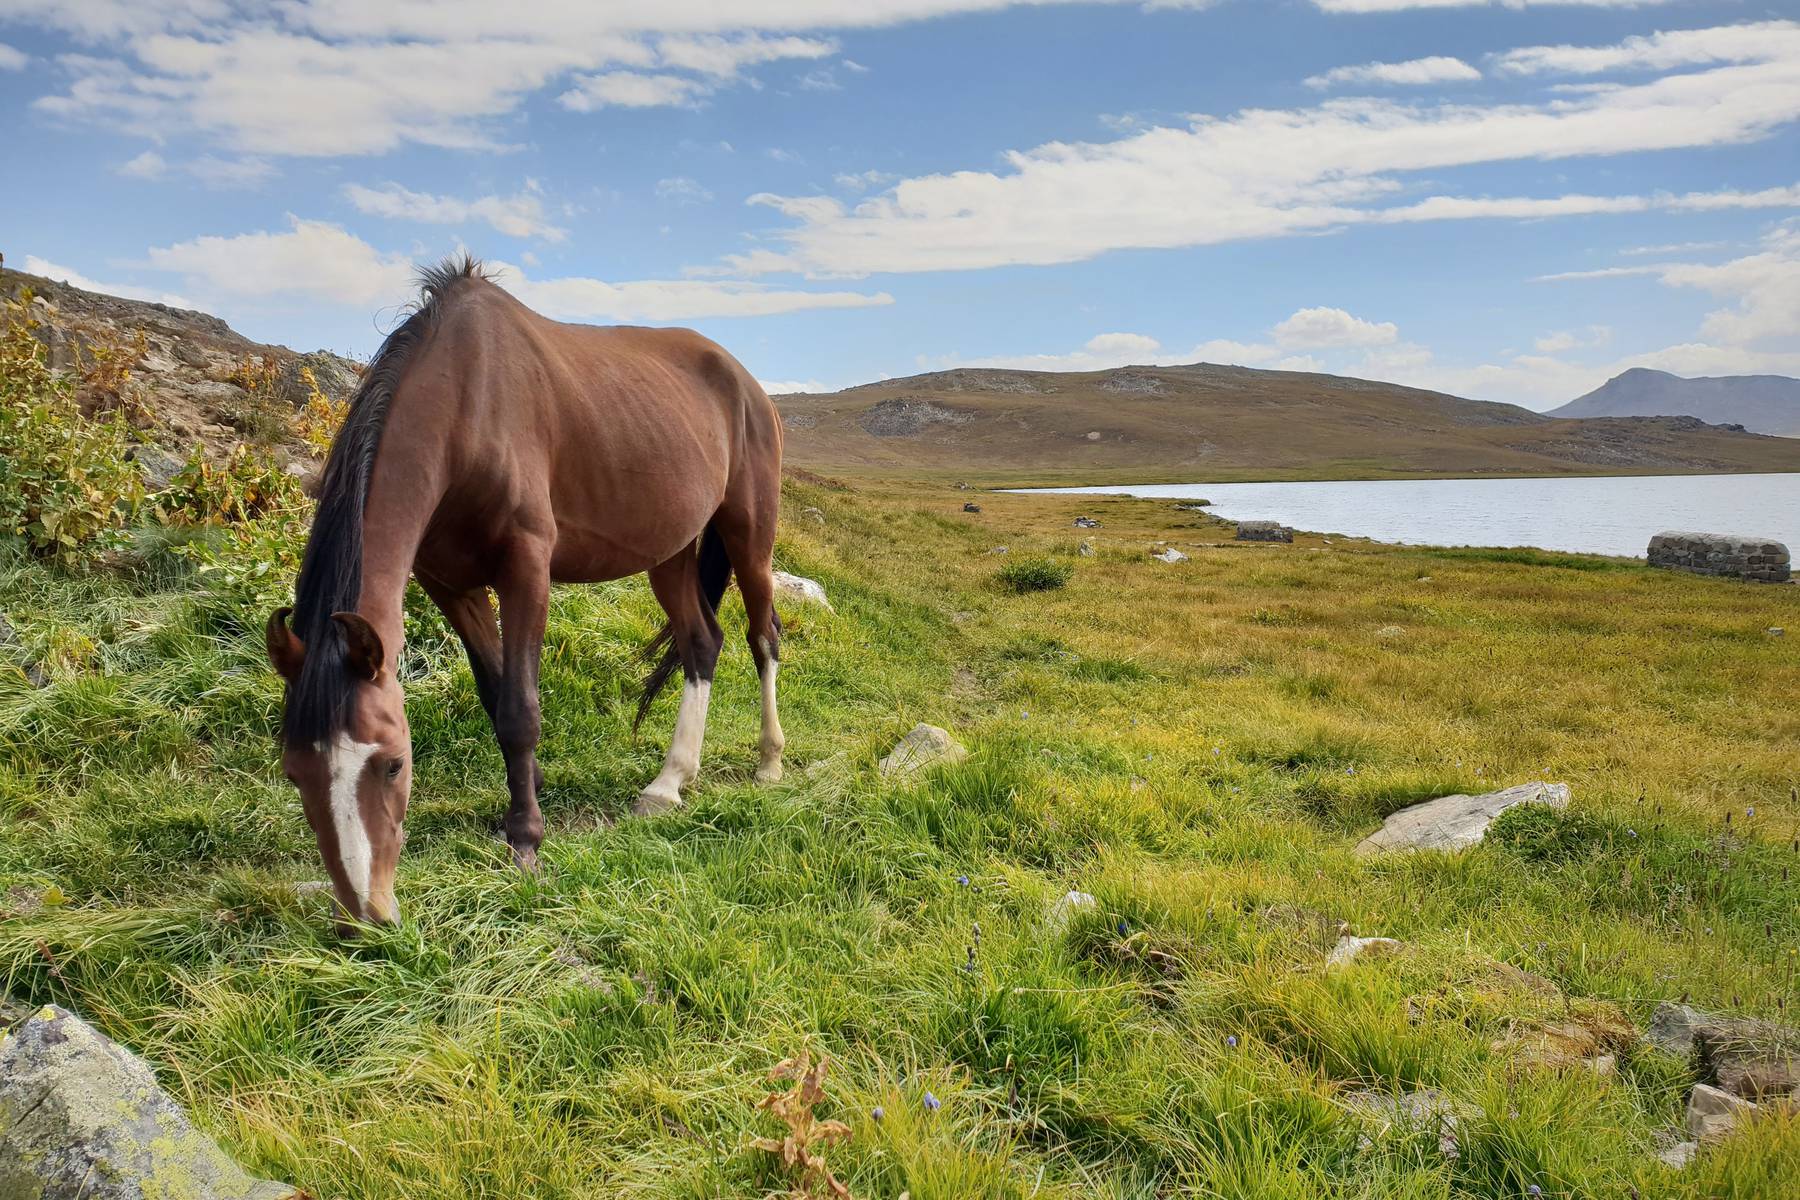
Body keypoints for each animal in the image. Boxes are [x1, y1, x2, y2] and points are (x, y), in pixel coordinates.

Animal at [262, 255, 784, 928]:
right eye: (295, 773)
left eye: (393, 763)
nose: (368, 914)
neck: (467, 406)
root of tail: (746, 383)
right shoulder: (451, 586)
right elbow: (494, 697)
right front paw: (520, 805)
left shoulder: (527, 570)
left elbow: (519, 710)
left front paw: (526, 841)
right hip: (669, 551)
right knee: (701, 644)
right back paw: (669, 782)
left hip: (750, 532)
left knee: (762, 636)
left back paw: (769, 760)